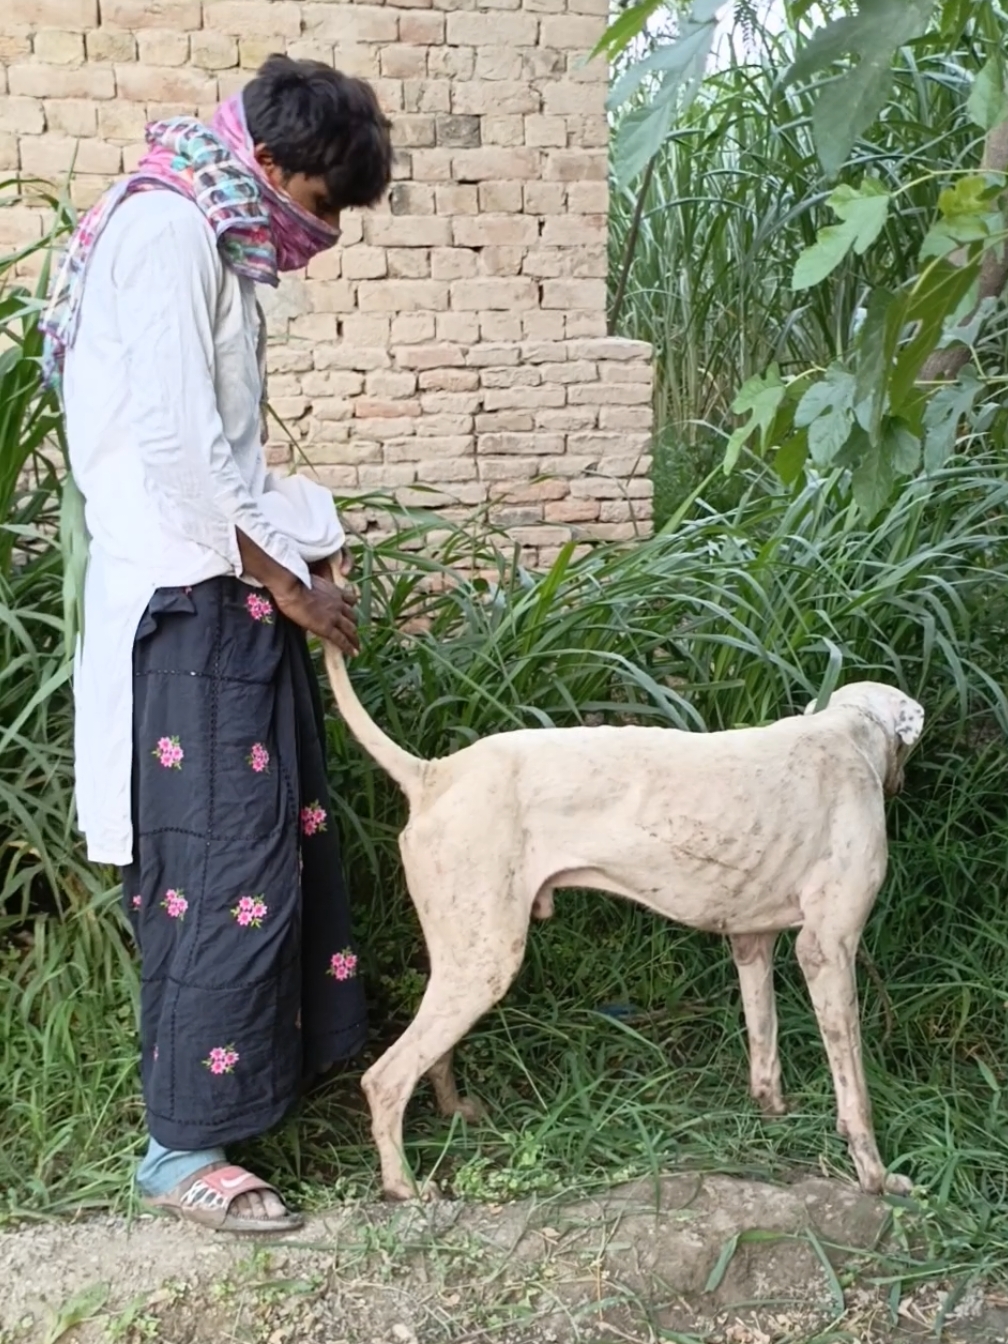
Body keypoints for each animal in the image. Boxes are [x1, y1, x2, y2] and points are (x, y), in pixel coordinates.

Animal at [323, 628, 924, 1198]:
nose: (900, 784)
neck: (847, 730)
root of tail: (433, 774)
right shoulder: (827, 950)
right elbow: (855, 1094)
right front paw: (876, 1176)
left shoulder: (752, 943)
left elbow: (763, 1041)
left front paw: (772, 1111)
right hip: (485, 963)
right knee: (384, 1078)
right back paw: (403, 1185)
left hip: (462, 957)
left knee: (431, 1055)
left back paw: (455, 1113)